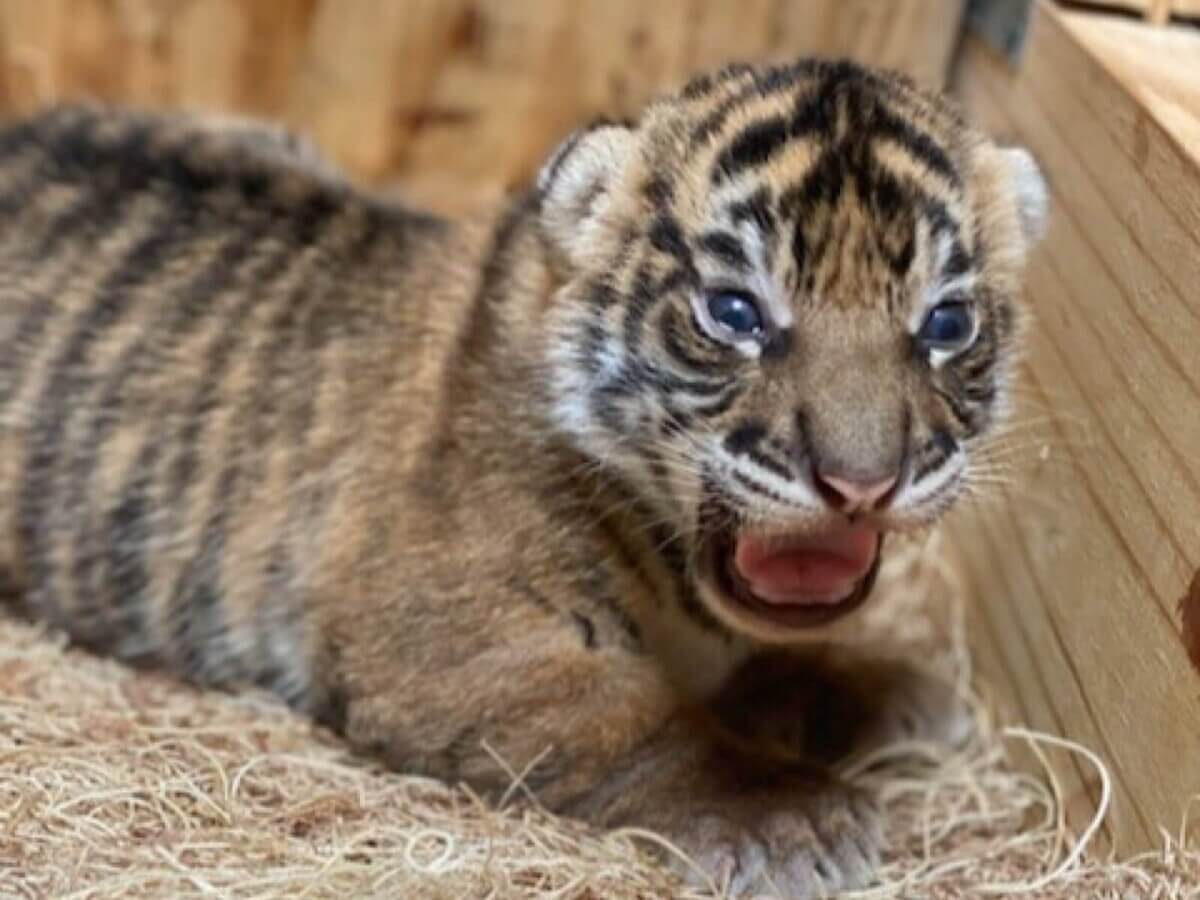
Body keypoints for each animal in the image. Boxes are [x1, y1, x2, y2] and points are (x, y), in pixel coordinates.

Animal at [0, 58, 1046, 896]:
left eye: (946, 323)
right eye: (735, 312)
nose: (861, 485)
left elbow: (773, 663)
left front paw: (892, 688)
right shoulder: (447, 640)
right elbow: (634, 720)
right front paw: (792, 815)